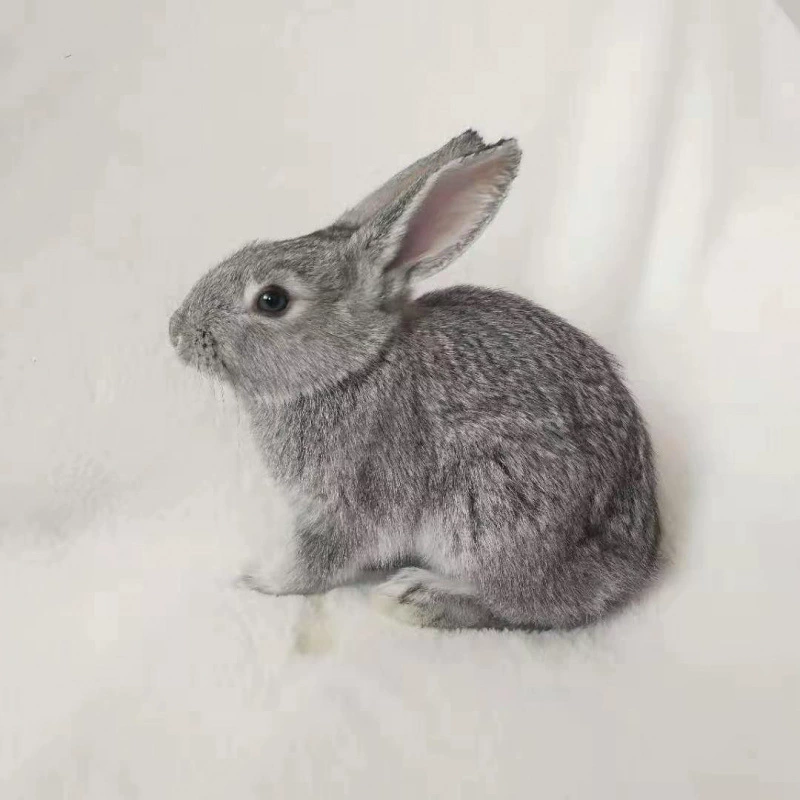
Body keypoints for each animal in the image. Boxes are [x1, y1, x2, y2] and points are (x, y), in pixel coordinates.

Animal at [169, 130, 660, 630]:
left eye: (272, 300)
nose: (177, 332)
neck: (356, 365)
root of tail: (626, 569)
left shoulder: (350, 499)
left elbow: (316, 561)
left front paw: (259, 579)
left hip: (492, 508)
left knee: (524, 603)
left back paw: (418, 596)